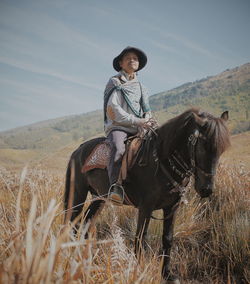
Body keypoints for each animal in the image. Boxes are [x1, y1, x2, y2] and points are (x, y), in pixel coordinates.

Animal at [64, 107, 230, 282]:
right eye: (203, 146)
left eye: (221, 149)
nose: (207, 189)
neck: (161, 161)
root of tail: (78, 150)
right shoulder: (146, 207)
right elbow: (140, 239)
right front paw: (139, 272)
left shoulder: (171, 207)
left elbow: (167, 239)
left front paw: (167, 274)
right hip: (77, 194)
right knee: (72, 223)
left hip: (99, 198)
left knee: (85, 225)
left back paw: (85, 259)